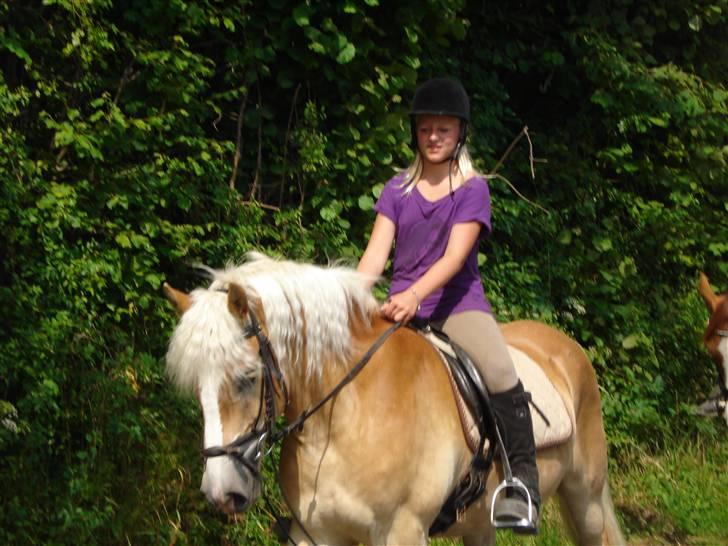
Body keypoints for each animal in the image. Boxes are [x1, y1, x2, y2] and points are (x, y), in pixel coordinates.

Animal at [165, 252, 624, 544]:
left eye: (246, 379)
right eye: (198, 390)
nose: (221, 494)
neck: (345, 417)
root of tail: (565, 346)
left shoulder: (403, 530)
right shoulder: (317, 534)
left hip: (585, 498)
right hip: (480, 523)